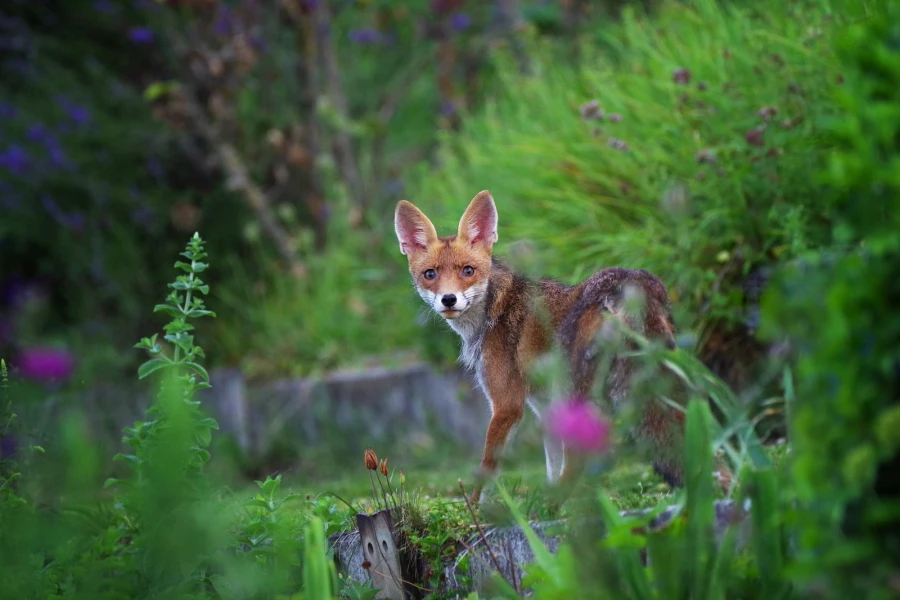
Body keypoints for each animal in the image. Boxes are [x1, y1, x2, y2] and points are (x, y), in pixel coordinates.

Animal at [394, 190, 724, 502]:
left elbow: (487, 469)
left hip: (577, 391)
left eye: (467, 271)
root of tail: (629, 281)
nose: (448, 300)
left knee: (580, 459)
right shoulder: (544, 405)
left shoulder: (507, 405)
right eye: (430, 275)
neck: (495, 309)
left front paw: (475, 508)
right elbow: (552, 465)